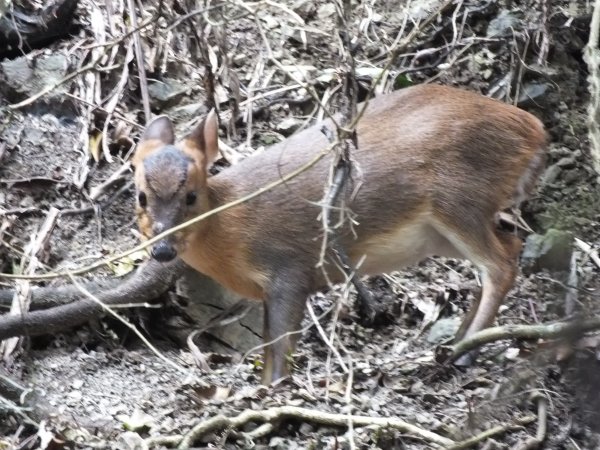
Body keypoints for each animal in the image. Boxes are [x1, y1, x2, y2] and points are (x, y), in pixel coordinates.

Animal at [132, 83, 548, 384]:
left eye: (191, 195)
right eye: (140, 195)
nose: (163, 250)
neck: (231, 228)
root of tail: (534, 129)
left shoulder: (289, 269)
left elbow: (280, 347)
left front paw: (272, 390)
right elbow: (268, 345)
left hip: (460, 198)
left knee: (501, 265)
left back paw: (464, 352)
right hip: (441, 231)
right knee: (509, 248)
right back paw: (460, 338)